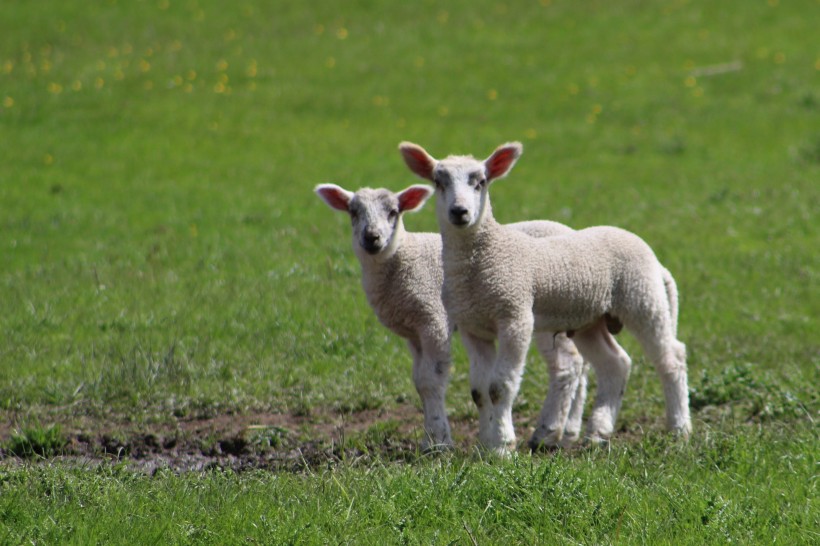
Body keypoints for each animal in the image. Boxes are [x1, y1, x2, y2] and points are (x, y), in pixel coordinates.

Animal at [314, 182, 588, 446]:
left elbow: (430, 380)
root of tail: (570, 230)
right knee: (581, 365)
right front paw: (431, 436)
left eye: (393, 212)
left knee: (567, 365)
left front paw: (438, 440)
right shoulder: (414, 333)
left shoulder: (433, 319)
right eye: (353, 212)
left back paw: (547, 433)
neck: (401, 258)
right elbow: (418, 381)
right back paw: (572, 431)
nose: (372, 237)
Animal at [400, 139, 688, 450]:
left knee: (672, 359)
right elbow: (479, 391)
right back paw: (597, 432)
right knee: (616, 364)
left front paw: (503, 445)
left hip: (643, 298)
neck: (480, 264)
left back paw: (679, 428)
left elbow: (499, 387)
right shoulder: (472, 327)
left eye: (481, 182)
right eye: (438, 182)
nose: (459, 212)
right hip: (590, 318)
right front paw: (488, 443)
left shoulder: (515, 316)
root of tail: (656, 262)